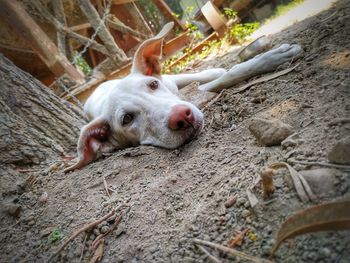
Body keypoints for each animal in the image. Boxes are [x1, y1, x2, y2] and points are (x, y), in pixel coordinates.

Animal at [65, 21, 300, 172]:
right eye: (127, 119)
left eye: (153, 85)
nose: (182, 117)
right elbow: (226, 77)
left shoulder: (172, 84)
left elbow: (225, 73)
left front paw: (272, 57)